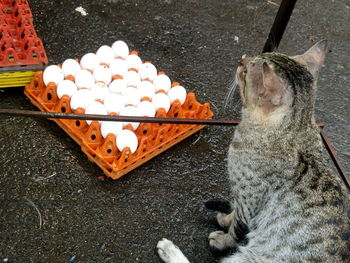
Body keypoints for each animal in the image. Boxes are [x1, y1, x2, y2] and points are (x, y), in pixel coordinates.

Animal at [157, 40, 350, 262]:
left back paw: (170, 250)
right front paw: (226, 218)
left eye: (246, 71)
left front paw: (223, 237)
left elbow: (237, 229)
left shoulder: (249, 200)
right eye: (256, 56)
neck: (297, 130)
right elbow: (235, 215)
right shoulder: (243, 199)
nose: (241, 60)